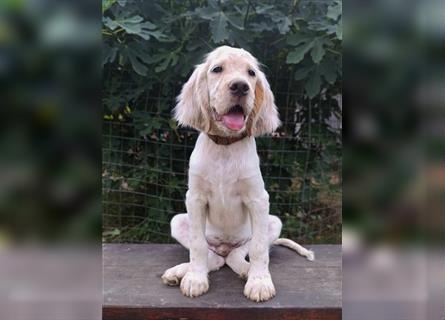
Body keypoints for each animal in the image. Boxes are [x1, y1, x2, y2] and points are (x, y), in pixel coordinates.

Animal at [160, 46, 312, 302]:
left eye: (251, 73)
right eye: (217, 69)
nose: (240, 86)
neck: (225, 147)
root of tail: (225, 246)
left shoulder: (258, 200)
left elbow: (259, 248)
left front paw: (259, 282)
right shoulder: (195, 199)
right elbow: (198, 246)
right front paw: (195, 279)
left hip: (272, 223)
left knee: (236, 255)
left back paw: (245, 269)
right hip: (178, 221)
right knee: (212, 257)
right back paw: (180, 271)